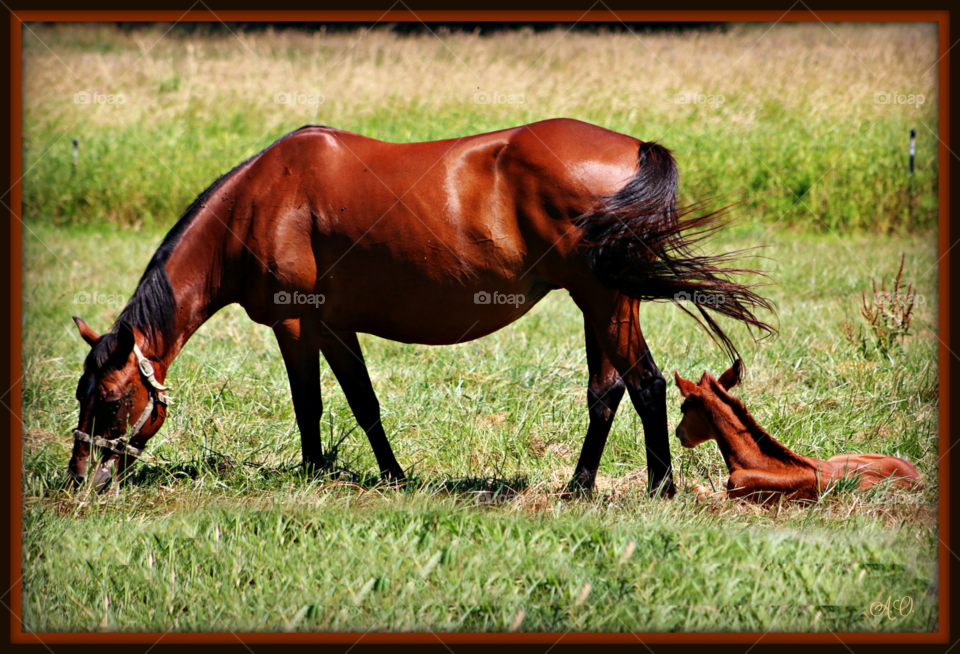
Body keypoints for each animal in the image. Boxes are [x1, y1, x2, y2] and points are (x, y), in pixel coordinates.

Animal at [67, 118, 776, 498]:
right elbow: (363, 403)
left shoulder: (296, 324)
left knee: (646, 384)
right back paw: (578, 488)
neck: (260, 202)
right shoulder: (334, 326)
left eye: (110, 401)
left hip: (604, 299)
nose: (77, 478)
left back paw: (659, 488)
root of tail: (634, 149)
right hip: (598, 301)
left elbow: (309, 403)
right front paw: (392, 475)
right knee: (608, 392)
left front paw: (313, 473)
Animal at [672, 362, 920, 504]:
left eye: (683, 407)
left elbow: (700, 492)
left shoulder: (739, 491)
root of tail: (917, 476)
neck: (755, 459)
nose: (677, 432)